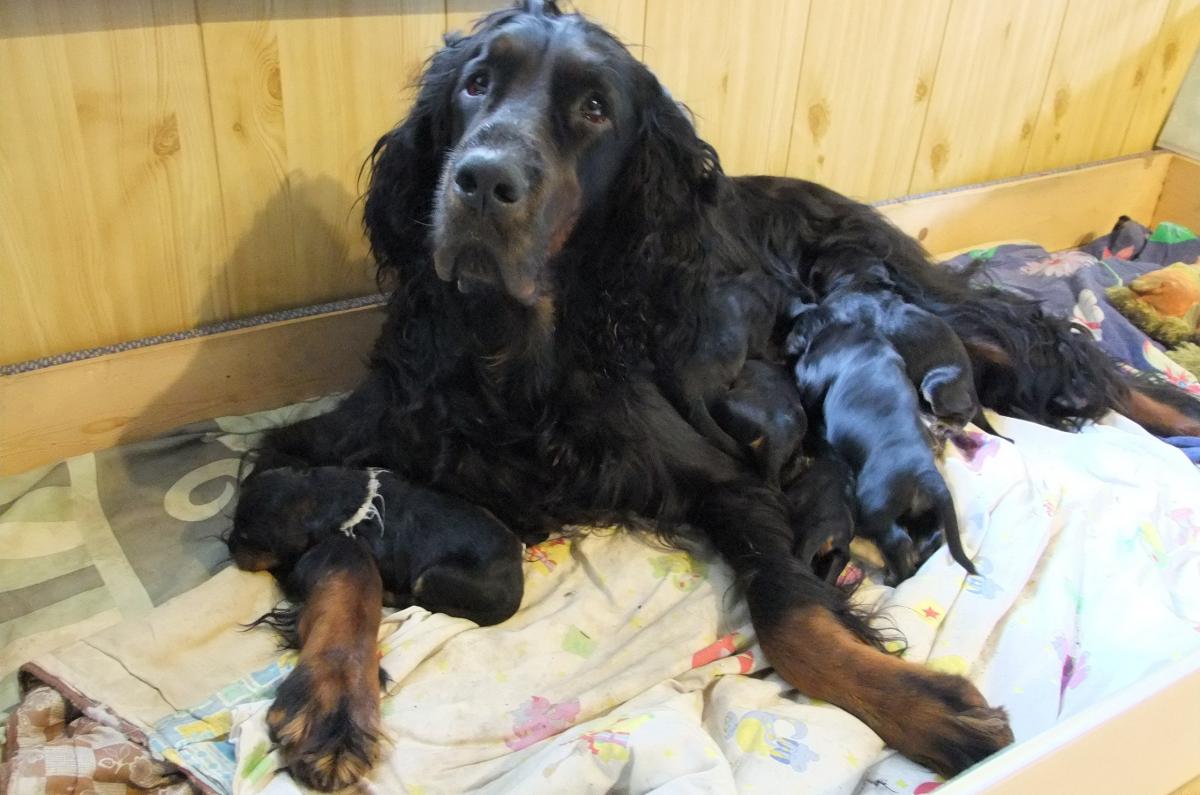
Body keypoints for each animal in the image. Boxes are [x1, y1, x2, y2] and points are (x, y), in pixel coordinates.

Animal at [229, 2, 1200, 788]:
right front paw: (333, 694)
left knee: (1049, 338)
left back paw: (1168, 399)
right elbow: (339, 541)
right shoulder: (307, 454)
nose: (479, 180)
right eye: (475, 83)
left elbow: (789, 612)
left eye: (593, 108)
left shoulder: (726, 480)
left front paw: (914, 701)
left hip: (912, 292)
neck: (515, 350)